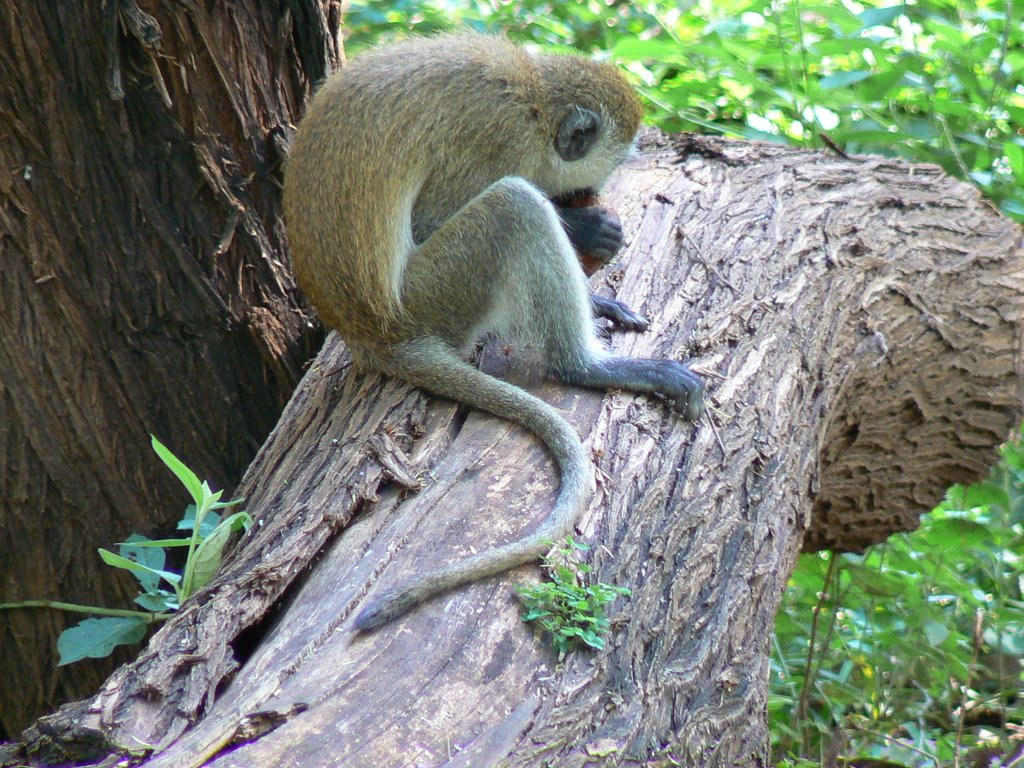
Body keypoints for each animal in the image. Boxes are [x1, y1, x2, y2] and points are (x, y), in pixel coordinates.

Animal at [284, 31, 708, 630]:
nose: (587, 196)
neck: (534, 96)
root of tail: (371, 334)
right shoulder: (497, 142)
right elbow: (435, 219)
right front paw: (585, 228)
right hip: (435, 295)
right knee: (515, 204)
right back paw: (591, 367)